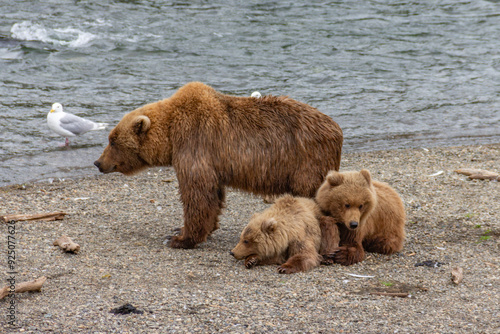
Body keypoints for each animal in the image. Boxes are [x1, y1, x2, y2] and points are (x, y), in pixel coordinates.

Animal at [95, 81, 342, 248]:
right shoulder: (213, 161)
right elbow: (213, 193)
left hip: (307, 160)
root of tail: (336, 128)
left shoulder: (195, 143)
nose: (98, 162)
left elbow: (197, 192)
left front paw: (181, 238)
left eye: (112, 140)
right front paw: (195, 228)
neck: (171, 135)